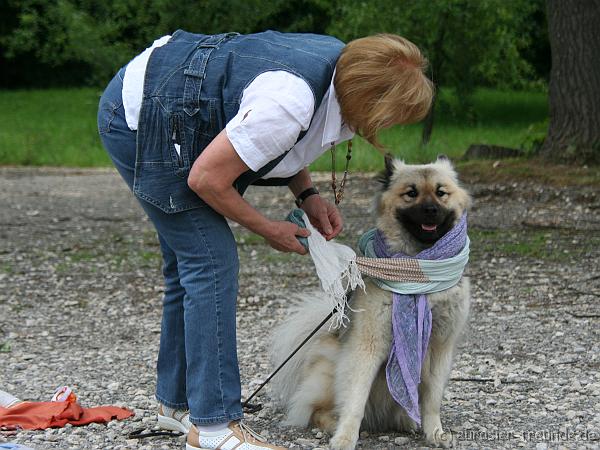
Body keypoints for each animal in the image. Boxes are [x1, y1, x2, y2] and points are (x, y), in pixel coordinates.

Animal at [270, 154, 472, 446]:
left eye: (441, 192)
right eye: (411, 193)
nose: (431, 210)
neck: (418, 265)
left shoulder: (440, 346)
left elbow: (432, 400)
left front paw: (435, 433)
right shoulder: (368, 345)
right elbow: (355, 400)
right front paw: (345, 438)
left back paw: (408, 421)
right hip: (332, 370)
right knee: (317, 410)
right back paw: (333, 424)